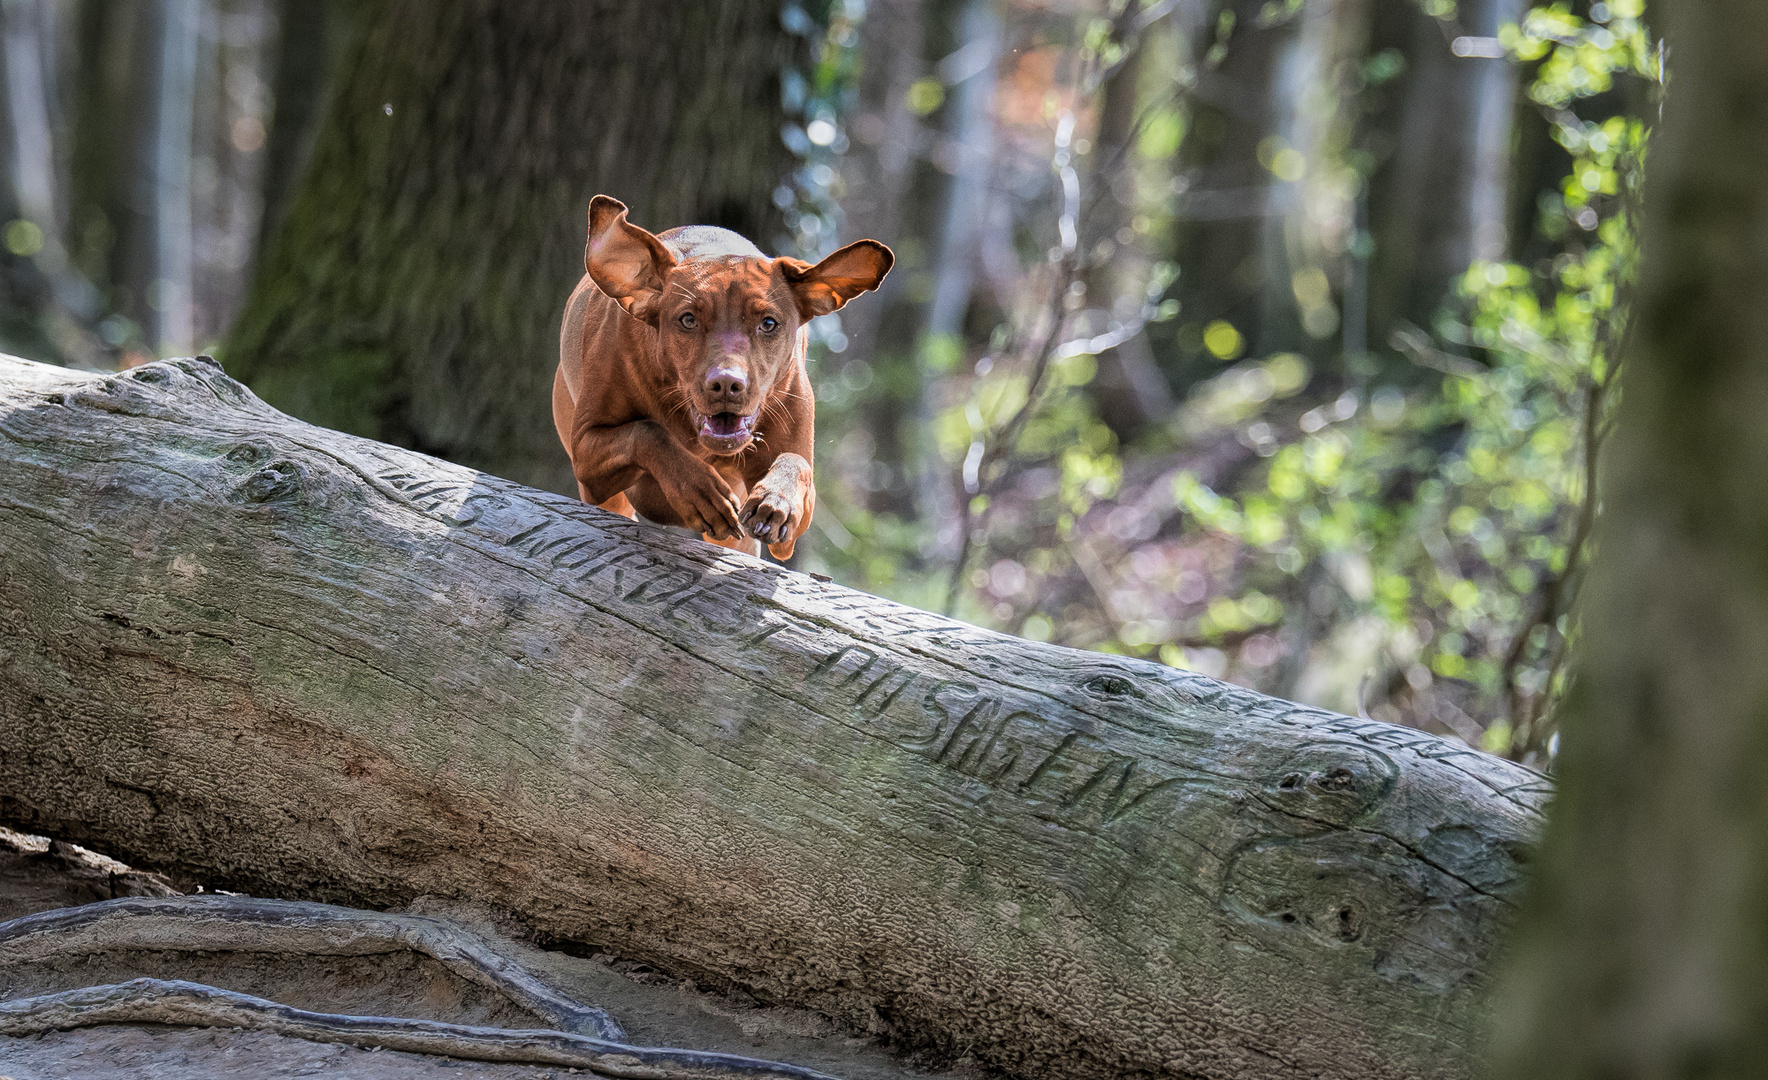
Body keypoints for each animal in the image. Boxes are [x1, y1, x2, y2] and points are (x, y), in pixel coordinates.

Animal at [551, 195, 891, 562]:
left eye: (768, 323)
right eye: (687, 320)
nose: (727, 384)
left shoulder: (795, 523)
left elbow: (795, 463)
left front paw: (776, 500)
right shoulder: (587, 455)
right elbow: (649, 432)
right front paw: (697, 490)